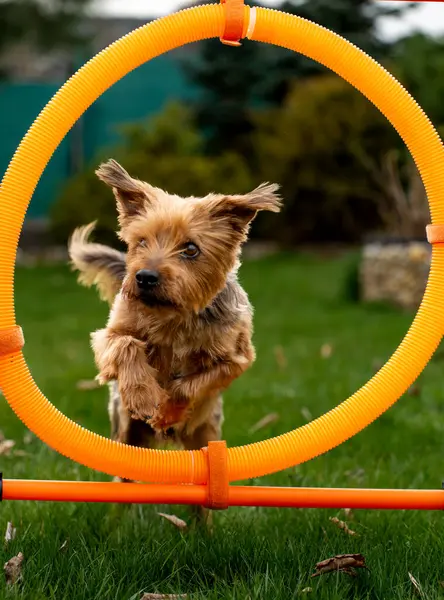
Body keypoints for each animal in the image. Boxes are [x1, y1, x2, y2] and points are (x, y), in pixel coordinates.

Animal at [68, 159, 280, 478]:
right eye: (141, 241)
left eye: (190, 249)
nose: (144, 277)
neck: (174, 315)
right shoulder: (108, 336)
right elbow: (126, 344)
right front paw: (142, 396)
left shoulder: (235, 359)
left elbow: (188, 385)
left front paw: (167, 411)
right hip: (126, 433)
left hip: (206, 434)